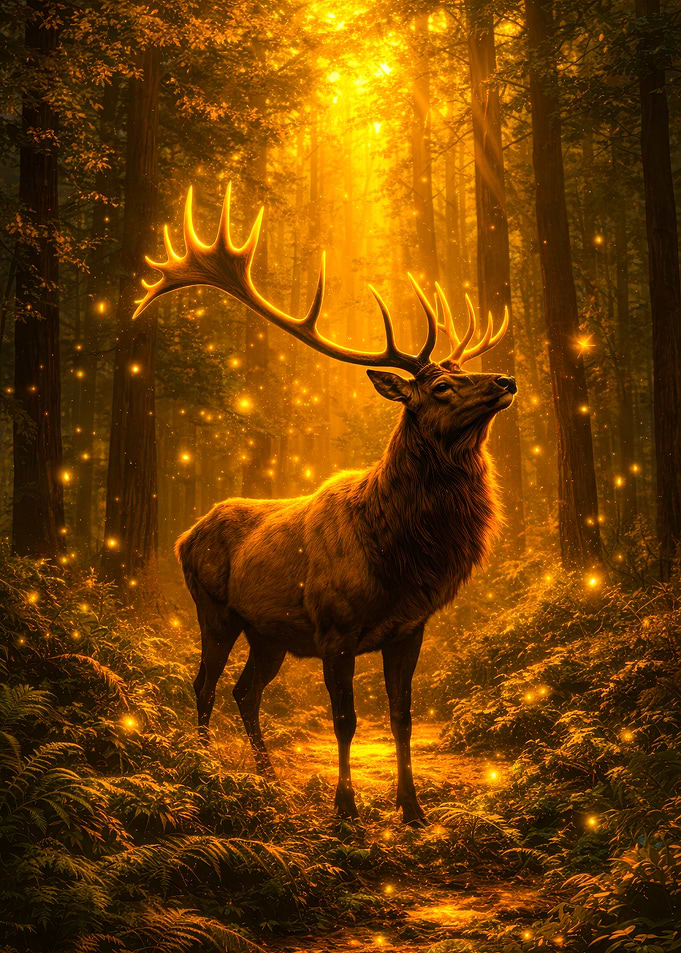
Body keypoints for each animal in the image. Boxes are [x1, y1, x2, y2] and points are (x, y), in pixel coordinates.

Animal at [134, 184, 517, 825]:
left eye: (464, 372)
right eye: (441, 386)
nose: (506, 380)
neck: (398, 551)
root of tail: (186, 533)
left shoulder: (408, 629)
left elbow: (401, 718)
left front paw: (412, 809)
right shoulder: (335, 627)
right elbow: (345, 721)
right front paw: (346, 808)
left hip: (269, 633)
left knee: (245, 690)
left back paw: (266, 776)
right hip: (215, 609)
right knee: (203, 683)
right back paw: (205, 768)